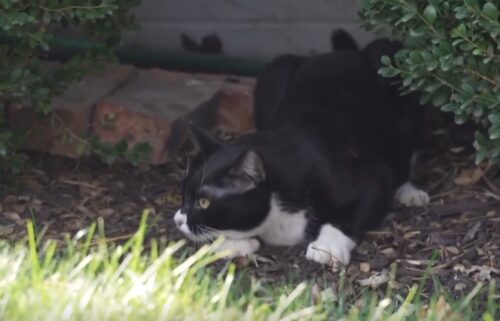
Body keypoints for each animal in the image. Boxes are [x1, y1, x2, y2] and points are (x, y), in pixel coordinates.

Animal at [173, 31, 430, 268]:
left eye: (203, 202)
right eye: (184, 193)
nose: (177, 219)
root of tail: (340, 53)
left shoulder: (367, 176)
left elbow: (354, 208)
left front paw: (327, 247)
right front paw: (234, 243)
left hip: (395, 60)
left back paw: (409, 191)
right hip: (274, 71)